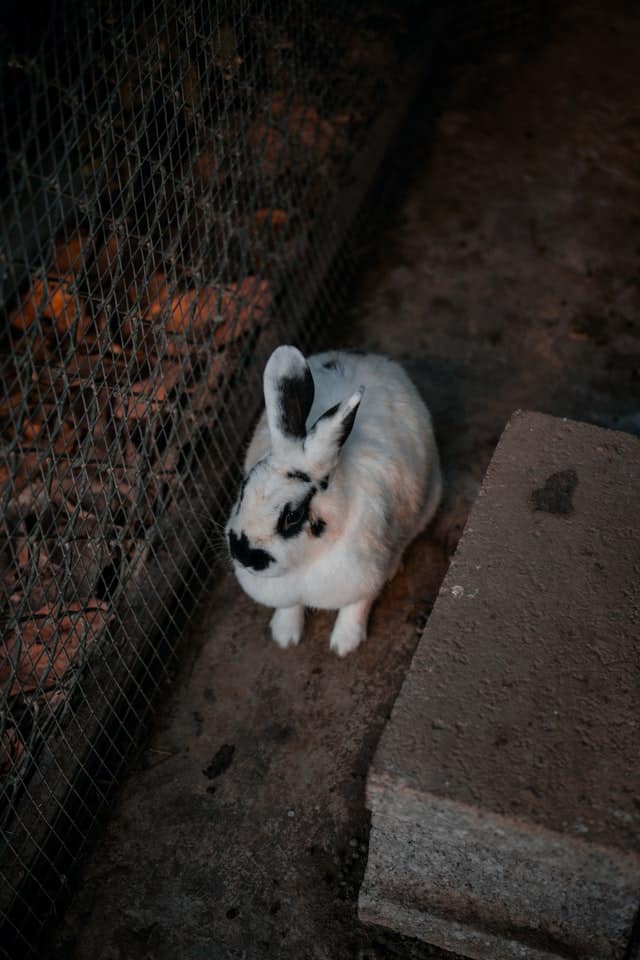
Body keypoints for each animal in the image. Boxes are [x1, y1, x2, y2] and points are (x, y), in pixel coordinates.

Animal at [225, 345, 442, 656]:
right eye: (244, 488)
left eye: (293, 516)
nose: (243, 553)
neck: (305, 564)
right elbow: (289, 607)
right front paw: (285, 635)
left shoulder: (365, 577)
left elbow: (356, 607)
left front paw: (344, 644)